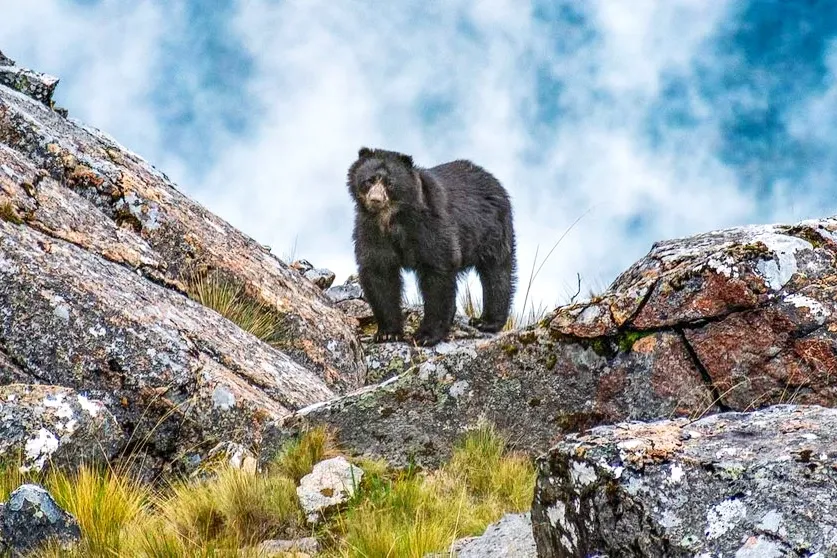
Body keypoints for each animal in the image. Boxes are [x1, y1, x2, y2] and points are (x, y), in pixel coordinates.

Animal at [347, 147, 516, 346]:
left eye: (390, 183)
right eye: (369, 180)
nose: (375, 199)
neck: (392, 219)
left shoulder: (430, 223)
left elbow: (437, 270)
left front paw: (426, 335)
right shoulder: (371, 231)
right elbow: (379, 274)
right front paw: (388, 333)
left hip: (491, 229)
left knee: (496, 272)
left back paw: (487, 321)